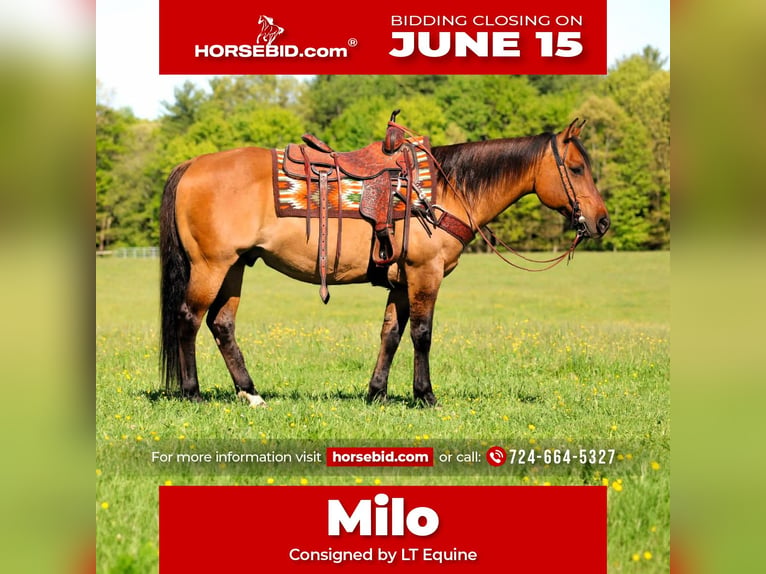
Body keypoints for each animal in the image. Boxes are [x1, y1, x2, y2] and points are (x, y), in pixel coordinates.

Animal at [159, 119, 610, 407]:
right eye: (575, 168)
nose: (602, 221)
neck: (444, 191)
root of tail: (191, 164)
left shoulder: (401, 281)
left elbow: (391, 334)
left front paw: (376, 393)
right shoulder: (424, 274)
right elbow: (422, 334)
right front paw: (425, 395)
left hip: (235, 267)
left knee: (222, 325)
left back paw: (251, 393)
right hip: (211, 266)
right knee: (188, 319)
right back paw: (192, 392)